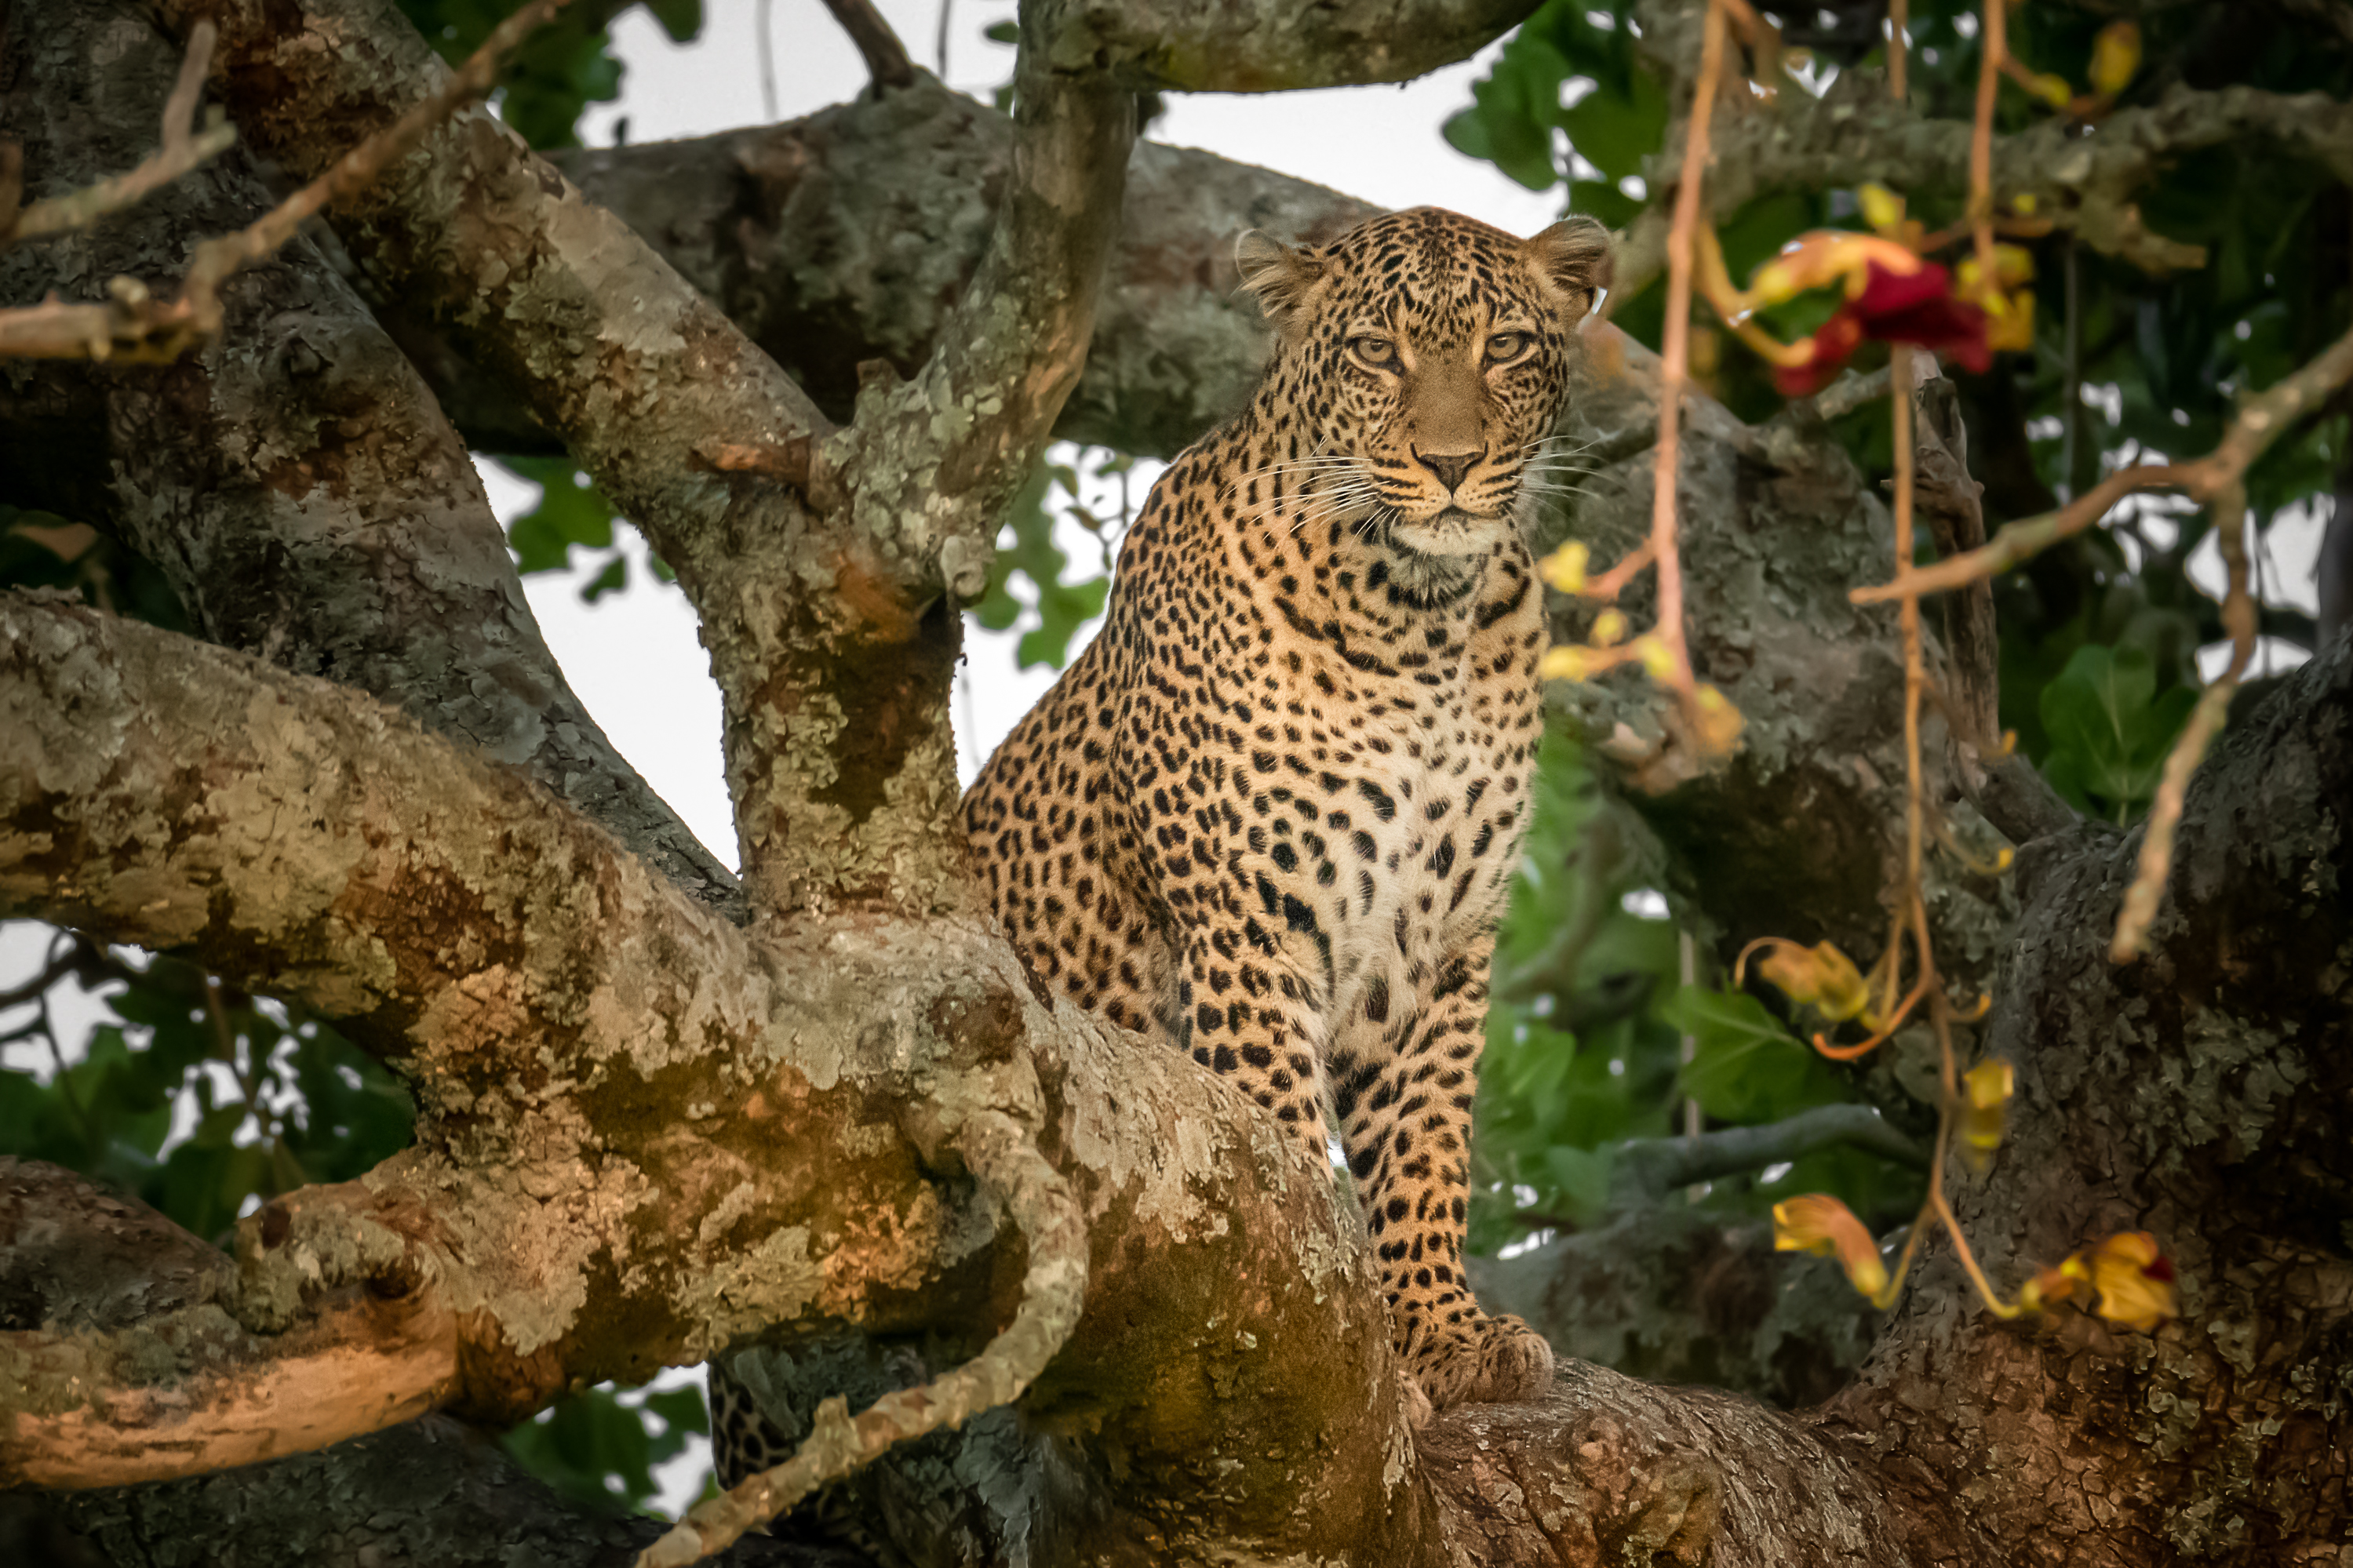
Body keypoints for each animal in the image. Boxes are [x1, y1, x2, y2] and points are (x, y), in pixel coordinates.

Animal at [705, 208, 1609, 1495]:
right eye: (1376, 353)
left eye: (1506, 348)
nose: (1448, 464)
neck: (1419, 614)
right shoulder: (1249, 915)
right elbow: (1281, 1142)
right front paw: (1339, 1360)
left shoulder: (1440, 943)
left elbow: (1427, 1149)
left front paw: (1443, 1332)